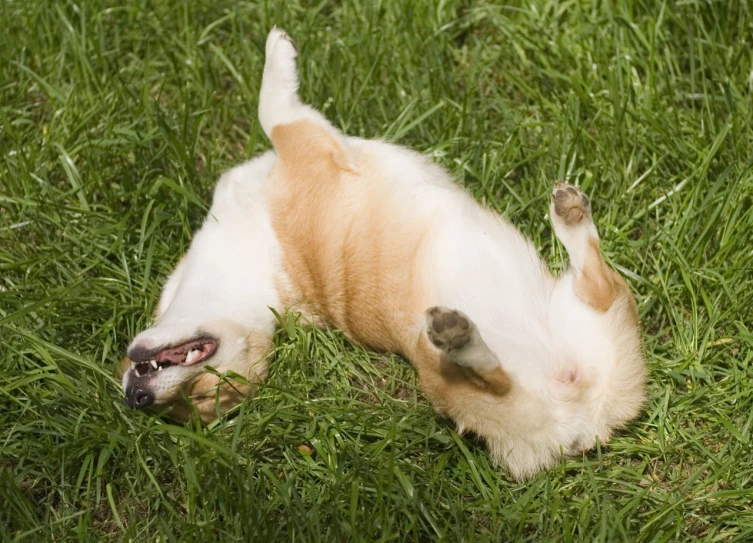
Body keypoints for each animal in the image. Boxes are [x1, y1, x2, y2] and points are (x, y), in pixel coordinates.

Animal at [120, 28, 644, 480]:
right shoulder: (305, 139)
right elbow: (274, 108)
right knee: (499, 373)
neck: (263, 292)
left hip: (590, 317)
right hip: (459, 374)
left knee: (595, 283)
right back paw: (460, 330)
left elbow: (272, 109)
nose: (136, 400)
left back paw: (568, 217)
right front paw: (278, 56)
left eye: (204, 392)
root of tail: (580, 429)